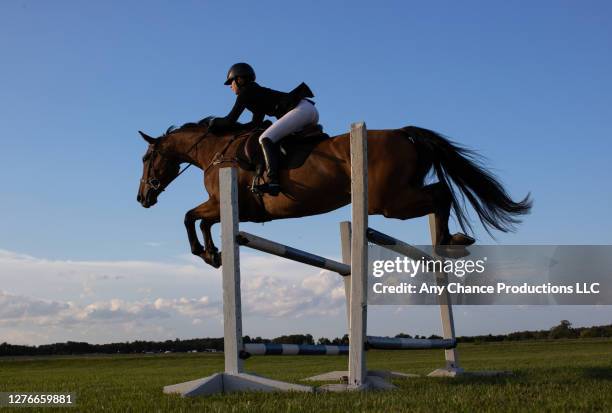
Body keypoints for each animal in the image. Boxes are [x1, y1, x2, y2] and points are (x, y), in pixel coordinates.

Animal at [135, 120, 532, 268]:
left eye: (145, 158)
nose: (142, 198)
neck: (216, 153)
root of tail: (403, 134)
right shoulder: (228, 209)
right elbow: (200, 220)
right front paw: (213, 253)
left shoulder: (226, 205)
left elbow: (190, 217)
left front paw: (206, 253)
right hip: (399, 197)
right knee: (440, 193)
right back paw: (450, 242)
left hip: (390, 203)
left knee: (440, 195)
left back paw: (449, 241)